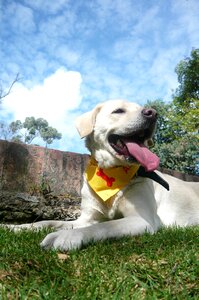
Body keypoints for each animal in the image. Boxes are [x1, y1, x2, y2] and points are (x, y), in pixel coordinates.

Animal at [6, 99, 199, 250]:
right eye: (119, 110)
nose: (152, 113)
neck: (112, 173)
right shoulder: (86, 218)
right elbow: (48, 222)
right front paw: (16, 227)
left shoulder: (142, 219)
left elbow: (105, 226)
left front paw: (66, 236)